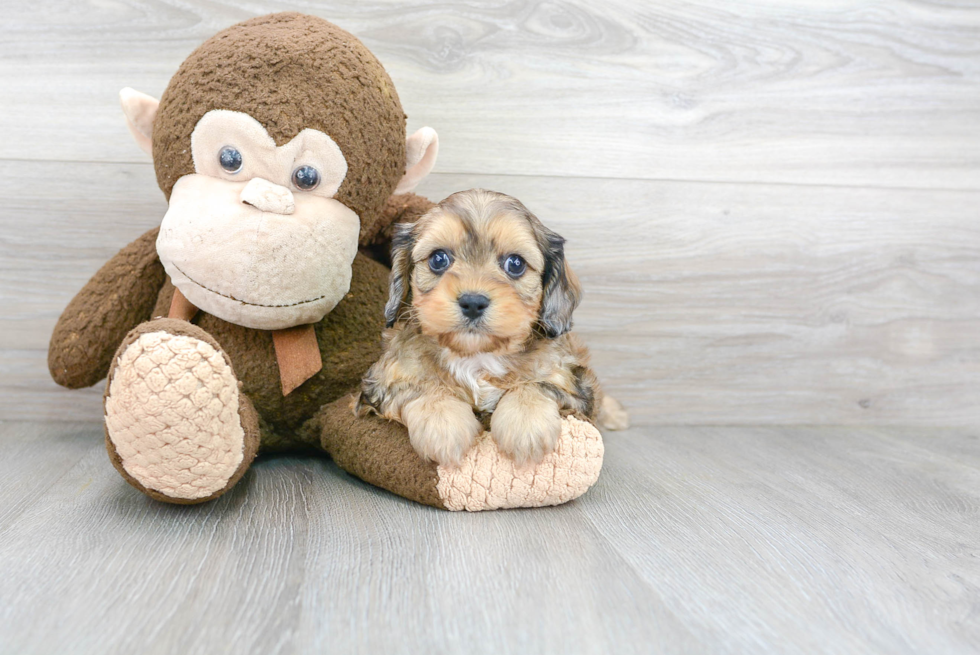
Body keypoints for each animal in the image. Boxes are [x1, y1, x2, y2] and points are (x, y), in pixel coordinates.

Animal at [358, 190, 628, 466]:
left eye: (515, 264)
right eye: (438, 259)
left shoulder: (574, 384)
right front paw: (443, 424)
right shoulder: (380, 383)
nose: (473, 302)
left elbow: (537, 384)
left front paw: (525, 425)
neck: (477, 356)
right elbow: (419, 387)